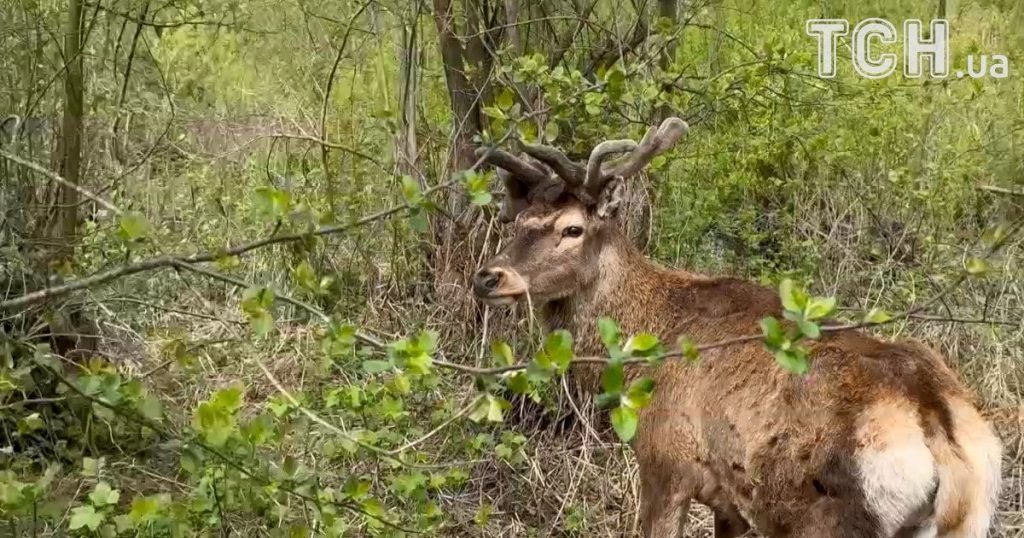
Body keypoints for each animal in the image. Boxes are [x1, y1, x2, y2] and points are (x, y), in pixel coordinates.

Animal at [469, 117, 1003, 538]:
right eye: (518, 221)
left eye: (572, 228)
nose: (489, 277)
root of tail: (936, 424)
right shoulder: (729, 501)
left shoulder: (666, 464)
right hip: (969, 521)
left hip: (836, 520)